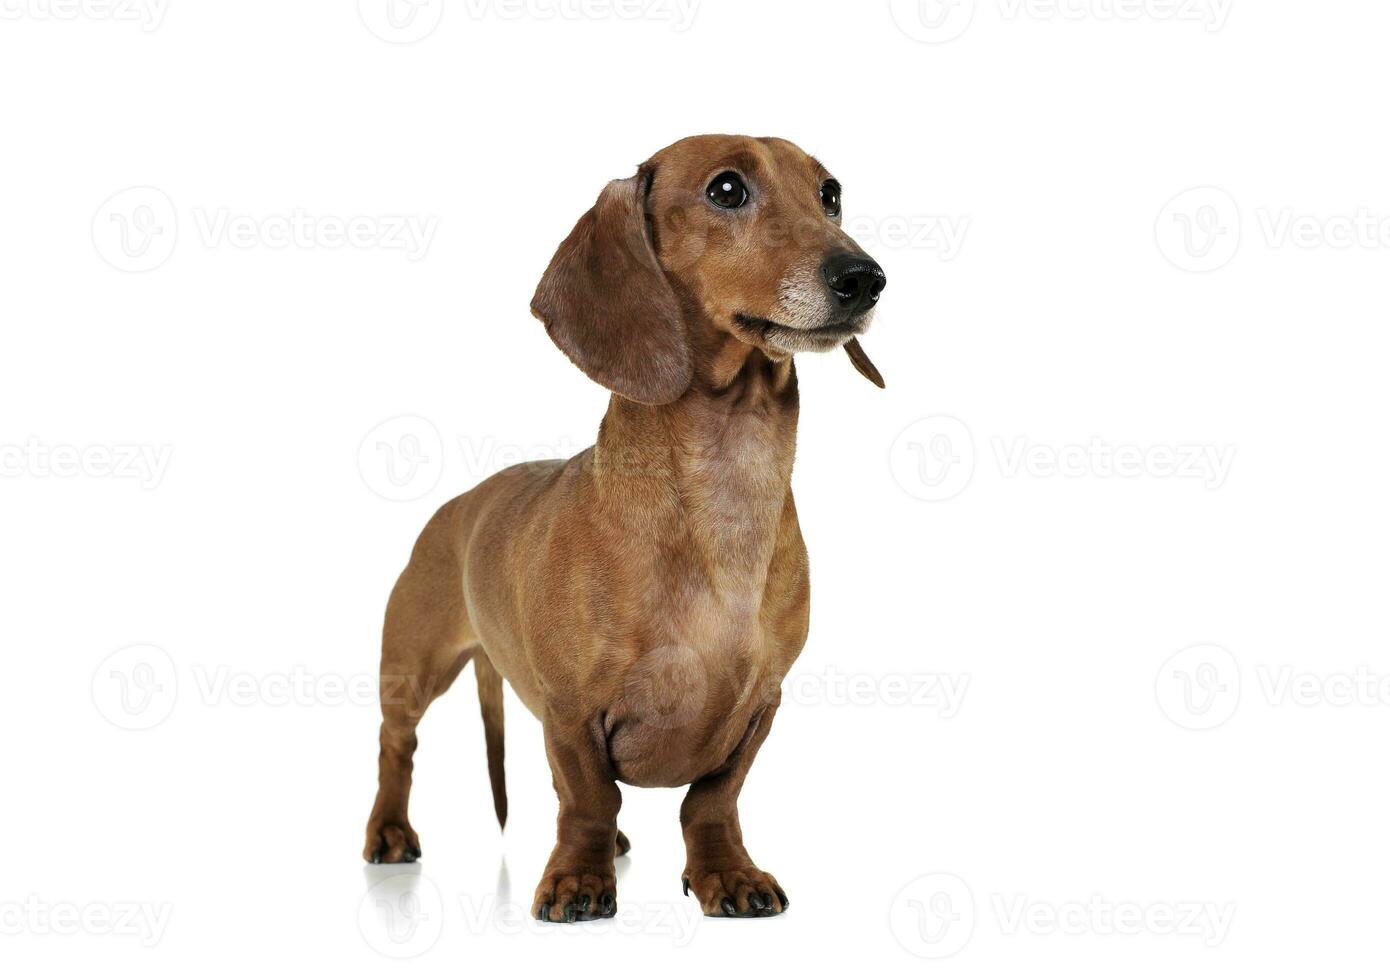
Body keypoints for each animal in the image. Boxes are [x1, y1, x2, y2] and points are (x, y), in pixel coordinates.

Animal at [364, 135, 884, 917]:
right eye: (726, 189)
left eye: (831, 194)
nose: (865, 278)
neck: (727, 488)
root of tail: (463, 499)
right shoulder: (571, 711)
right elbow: (586, 797)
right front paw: (578, 879)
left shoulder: (760, 704)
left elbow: (710, 802)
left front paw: (727, 874)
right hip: (412, 667)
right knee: (398, 747)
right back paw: (390, 832)